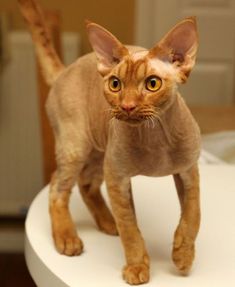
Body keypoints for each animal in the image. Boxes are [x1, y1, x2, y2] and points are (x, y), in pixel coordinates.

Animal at [17, 0, 200, 284]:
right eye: (115, 84)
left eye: (152, 83)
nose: (127, 106)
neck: (155, 138)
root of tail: (65, 71)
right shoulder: (118, 178)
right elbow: (130, 228)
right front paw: (137, 266)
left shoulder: (189, 170)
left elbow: (192, 216)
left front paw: (183, 254)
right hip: (77, 147)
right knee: (58, 186)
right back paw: (67, 237)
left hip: (100, 152)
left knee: (86, 184)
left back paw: (106, 221)